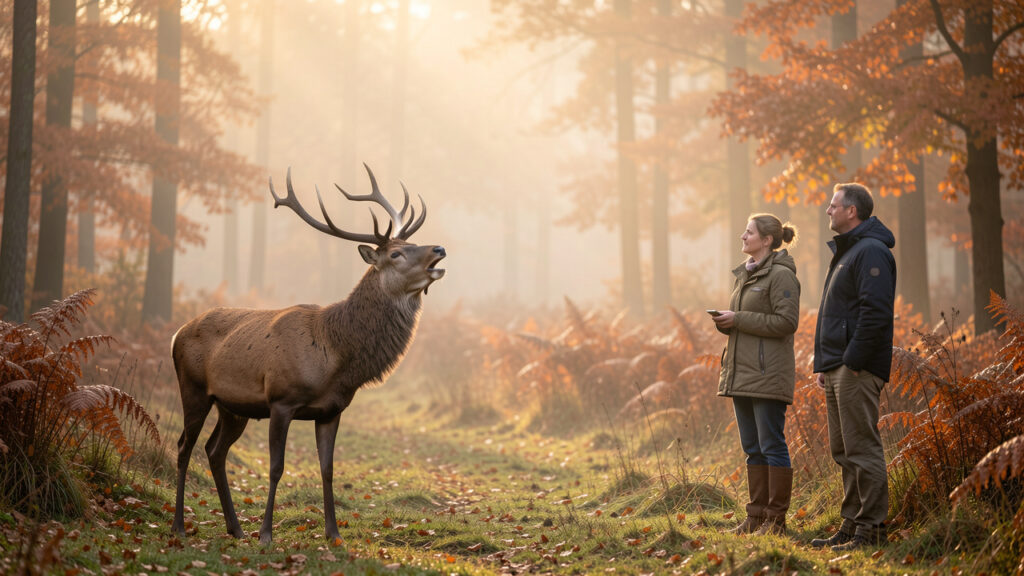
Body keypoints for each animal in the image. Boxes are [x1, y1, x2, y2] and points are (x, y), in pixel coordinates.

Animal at [170, 165, 446, 545]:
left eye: (410, 245)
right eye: (395, 254)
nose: (439, 248)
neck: (336, 359)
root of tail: (175, 334)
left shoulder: (331, 410)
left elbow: (327, 469)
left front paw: (333, 533)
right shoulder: (280, 400)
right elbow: (276, 468)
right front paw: (266, 534)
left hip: (233, 407)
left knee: (214, 450)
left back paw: (235, 528)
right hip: (193, 388)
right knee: (184, 447)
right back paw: (180, 525)